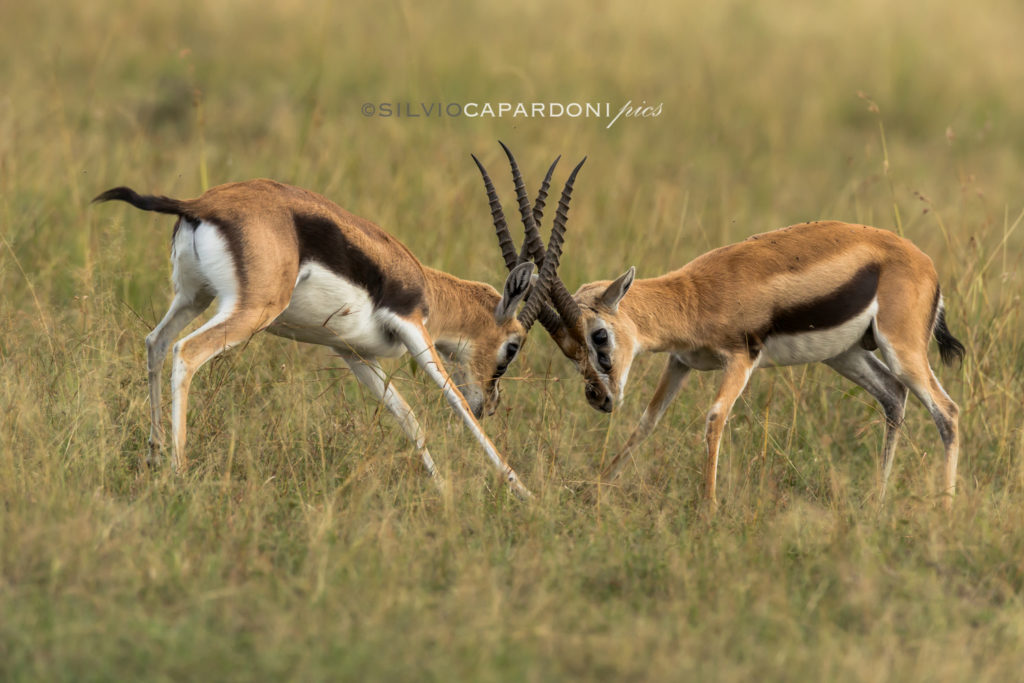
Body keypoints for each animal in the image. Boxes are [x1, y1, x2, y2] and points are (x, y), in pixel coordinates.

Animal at [92, 159, 581, 498]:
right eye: (513, 346)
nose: (491, 404)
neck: (423, 284)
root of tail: (201, 204)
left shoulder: (354, 353)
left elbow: (408, 417)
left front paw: (442, 490)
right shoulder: (413, 329)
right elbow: (453, 404)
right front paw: (524, 493)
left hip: (195, 296)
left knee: (155, 343)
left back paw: (154, 456)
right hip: (250, 311)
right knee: (186, 352)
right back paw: (178, 472)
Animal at [480, 179, 965, 506]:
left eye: (599, 335)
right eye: (568, 349)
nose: (600, 398)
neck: (693, 298)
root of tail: (925, 264)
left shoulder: (740, 359)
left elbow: (714, 419)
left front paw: (708, 509)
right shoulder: (681, 362)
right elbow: (648, 421)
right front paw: (595, 490)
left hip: (902, 351)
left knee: (947, 410)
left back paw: (944, 508)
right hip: (846, 356)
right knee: (894, 396)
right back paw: (878, 501)